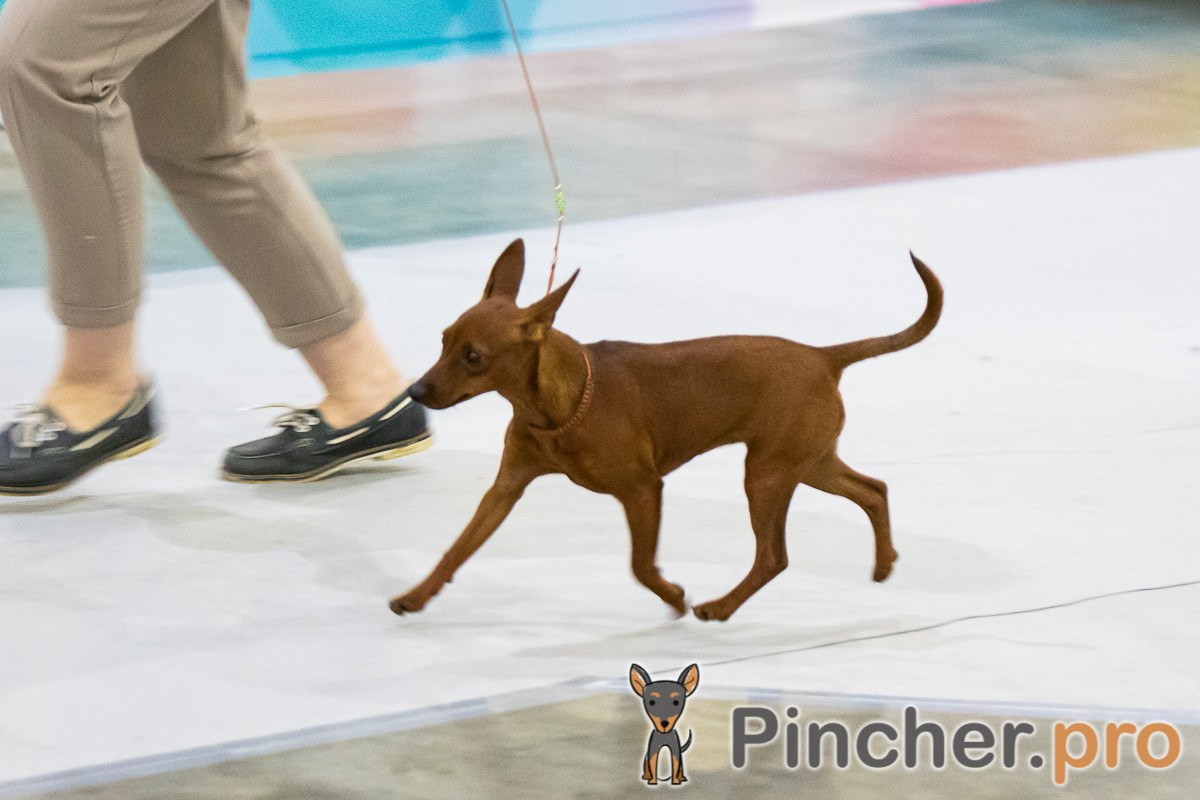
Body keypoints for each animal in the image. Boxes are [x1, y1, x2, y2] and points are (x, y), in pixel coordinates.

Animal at [391, 239, 942, 620]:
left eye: (474, 357)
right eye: (443, 341)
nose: (415, 391)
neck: (557, 408)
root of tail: (824, 356)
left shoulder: (642, 490)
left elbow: (640, 565)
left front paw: (674, 597)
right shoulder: (505, 488)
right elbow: (457, 548)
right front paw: (416, 595)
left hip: (767, 475)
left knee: (774, 557)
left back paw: (720, 607)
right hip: (806, 463)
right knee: (873, 490)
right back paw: (884, 563)